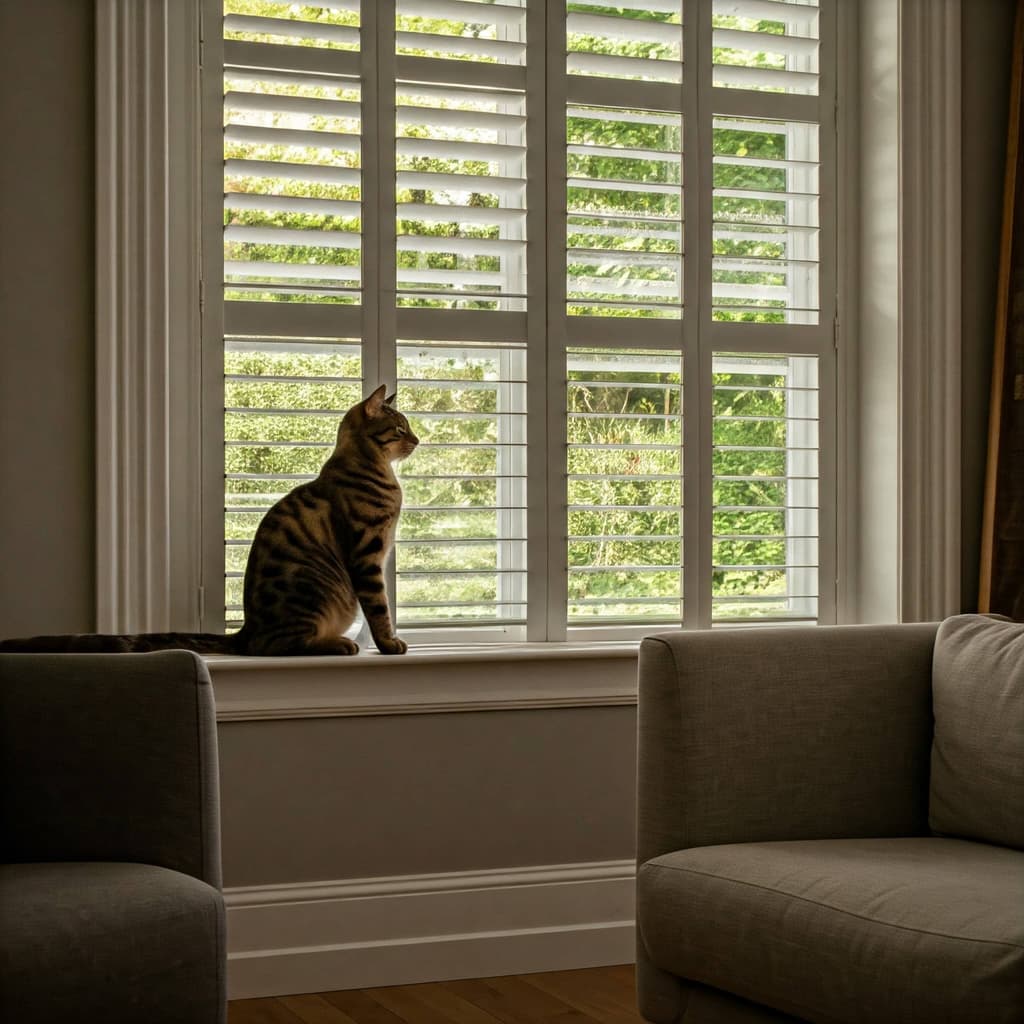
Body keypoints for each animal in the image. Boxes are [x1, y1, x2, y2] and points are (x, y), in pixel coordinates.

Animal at [0, 385, 417, 655]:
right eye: (400, 428)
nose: (417, 439)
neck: (370, 466)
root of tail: (246, 630)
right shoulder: (367, 552)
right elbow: (379, 606)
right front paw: (388, 643)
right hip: (312, 593)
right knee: (276, 645)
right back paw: (338, 644)